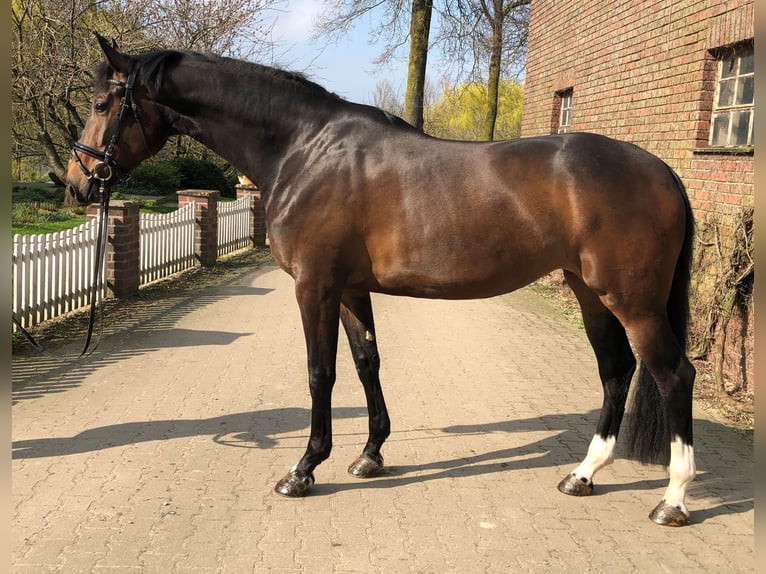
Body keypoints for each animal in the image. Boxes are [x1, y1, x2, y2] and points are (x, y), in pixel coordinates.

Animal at [69, 36, 700, 528]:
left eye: (102, 102)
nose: (77, 182)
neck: (302, 149)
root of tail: (661, 170)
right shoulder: (350, 289)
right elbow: (366, 362)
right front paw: (370, 455)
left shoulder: (314, 286)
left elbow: (320, 373)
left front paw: (303, 469)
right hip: (591, 294)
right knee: (616, 371)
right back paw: (584, 473)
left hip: (633, 302)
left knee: (672, 375)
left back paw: (672, 500)